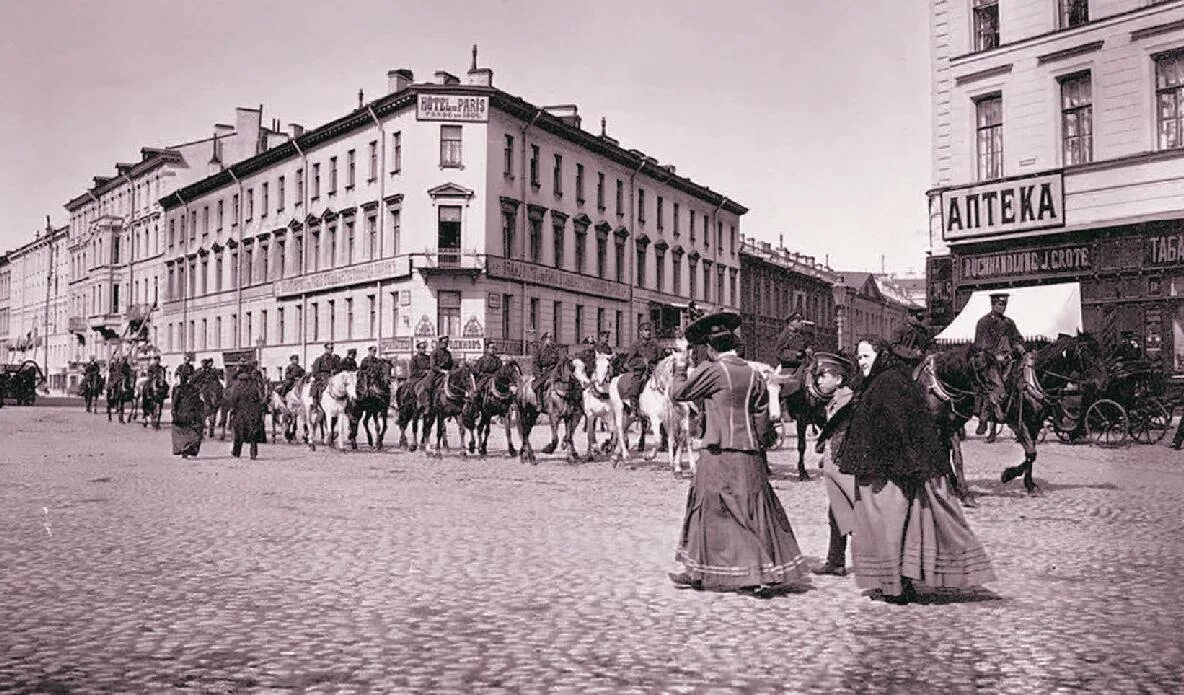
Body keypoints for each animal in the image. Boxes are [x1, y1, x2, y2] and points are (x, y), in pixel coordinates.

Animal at [999, 331, 1108, 494]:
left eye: (1100, 351)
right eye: (1088, 353)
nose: (1105, 382)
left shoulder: (1035, 424)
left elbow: (1030, 454)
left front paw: (1029, 484)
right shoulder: (1018, 423)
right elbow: (1031, 453)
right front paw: (1008, 475)